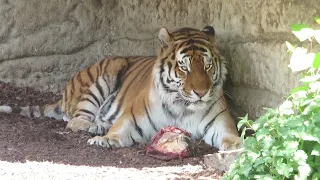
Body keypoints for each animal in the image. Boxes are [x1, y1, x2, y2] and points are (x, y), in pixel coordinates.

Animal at [0, 25, 241, 150]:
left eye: (208, 66)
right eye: (184, 67)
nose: (201, 93)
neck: (183, 106)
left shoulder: (221, 123)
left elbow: (230, 136)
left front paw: (239, 146)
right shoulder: (132, 118)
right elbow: (119, 130)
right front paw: (104, 140)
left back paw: (100, 126)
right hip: (104, 77)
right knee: (74, 120)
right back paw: (94, 128)